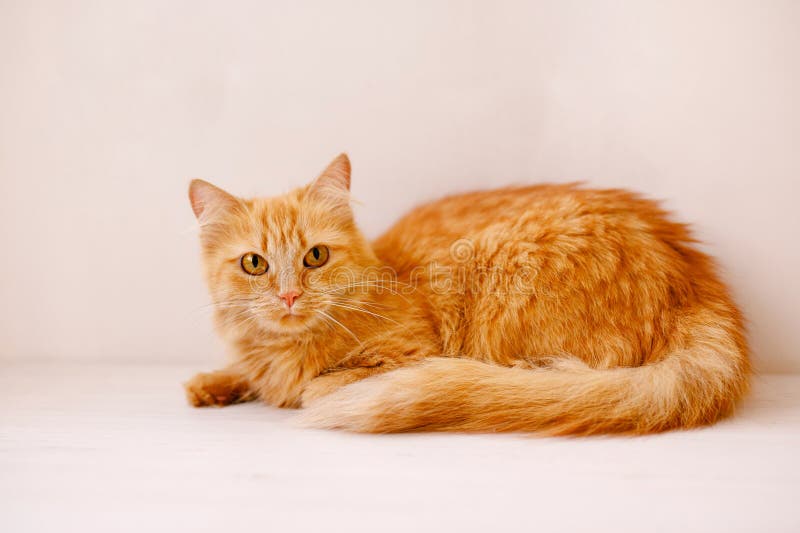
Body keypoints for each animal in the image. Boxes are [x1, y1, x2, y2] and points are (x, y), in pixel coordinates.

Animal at [186, 153, 752, 432]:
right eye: (254, 264)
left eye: (316, 257)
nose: (288, 297)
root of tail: (695, 279)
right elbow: (244, 375)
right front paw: (215, 384)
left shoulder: (410, 352)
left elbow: (313, 388)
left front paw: (291, 389)